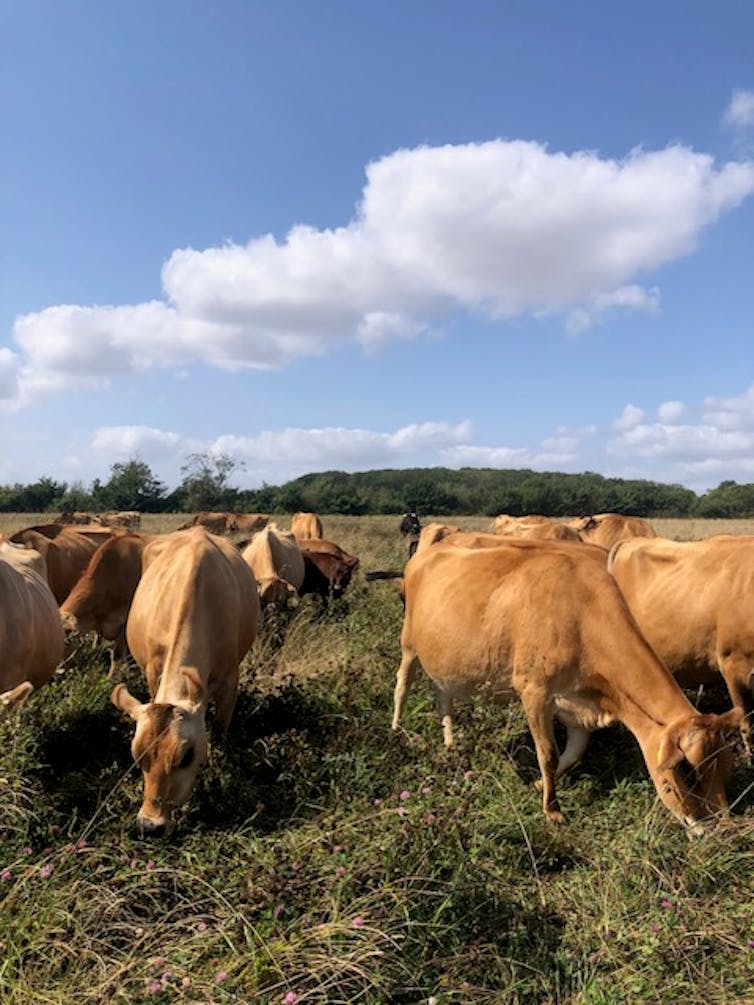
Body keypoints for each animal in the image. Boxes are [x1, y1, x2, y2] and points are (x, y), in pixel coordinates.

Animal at [111, 527, 260, 836]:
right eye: (137, 755)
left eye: (187, 756)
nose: (149, 825)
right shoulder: (153, 671)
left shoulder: (230, 678)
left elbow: (220, 729)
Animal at [392, 537, 740, 831]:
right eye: (687, 771)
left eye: (727, 768)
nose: (718, 828)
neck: (582, 615)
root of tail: (427, 551)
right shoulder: (533, 690)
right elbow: (548, 753)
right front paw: (553, 810)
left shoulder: (578, 705)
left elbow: (572, 753)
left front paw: (539, 787)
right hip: (409, 642)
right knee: (402, 685)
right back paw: (396, 732)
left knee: (443, 696)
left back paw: (450, 742)